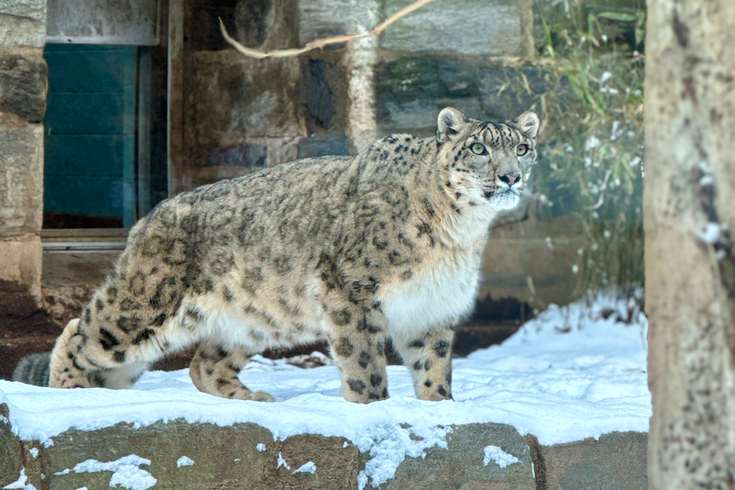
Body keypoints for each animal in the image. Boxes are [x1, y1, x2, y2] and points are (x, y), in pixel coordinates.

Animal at [12, 109, 540, 404]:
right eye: (479, 147)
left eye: (523, 147)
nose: (511, 177)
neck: (459, 234)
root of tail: (149, 217)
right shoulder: (352, 292)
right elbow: (364, 364)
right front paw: (373, 408)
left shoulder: (432, 308)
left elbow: (433, 368)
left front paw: (440, 410)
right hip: (143, 306)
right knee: (80, 333)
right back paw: (72, 399)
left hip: (250, 320)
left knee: (203, 365)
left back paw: (256, 400)